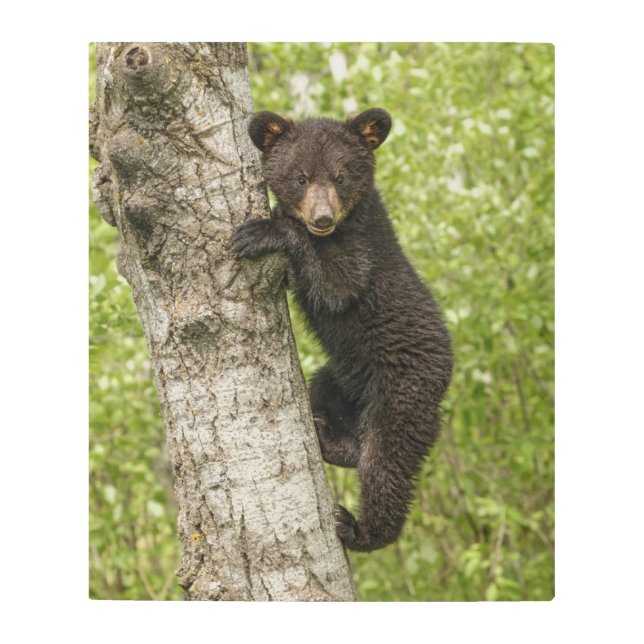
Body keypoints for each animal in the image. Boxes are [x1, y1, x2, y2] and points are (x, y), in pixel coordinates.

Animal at [232, 108, 453, 552]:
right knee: (329, 401)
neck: (348, 221)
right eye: (300, 177)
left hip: (402, 394)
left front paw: (262, 231)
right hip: (341, 377)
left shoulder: (363, 253)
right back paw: (329, 438)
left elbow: (337, 282)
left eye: (340, 176)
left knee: (386, 464)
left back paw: (359, 529)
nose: (322, 218)